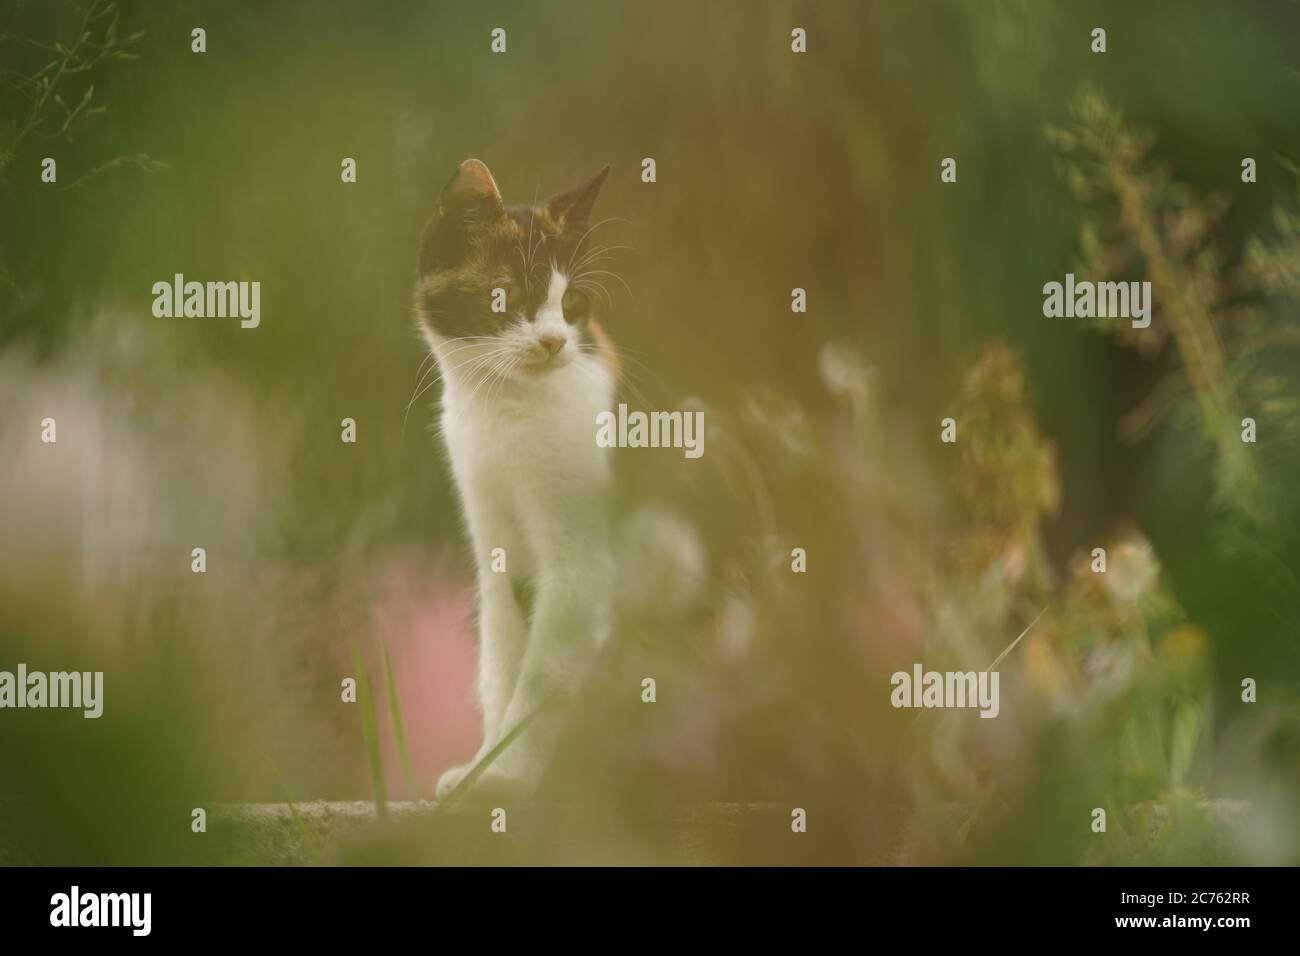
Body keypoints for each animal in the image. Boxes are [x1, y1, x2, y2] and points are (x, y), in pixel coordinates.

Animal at [413, 158, 621, 801]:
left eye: (572, 300)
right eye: (507, 296)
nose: (554, 341)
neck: (507, 410)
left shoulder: (583, 568)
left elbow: (542, 673)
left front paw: (507, 776)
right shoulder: (494, 542)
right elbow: (502, 658)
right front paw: (483, 764)